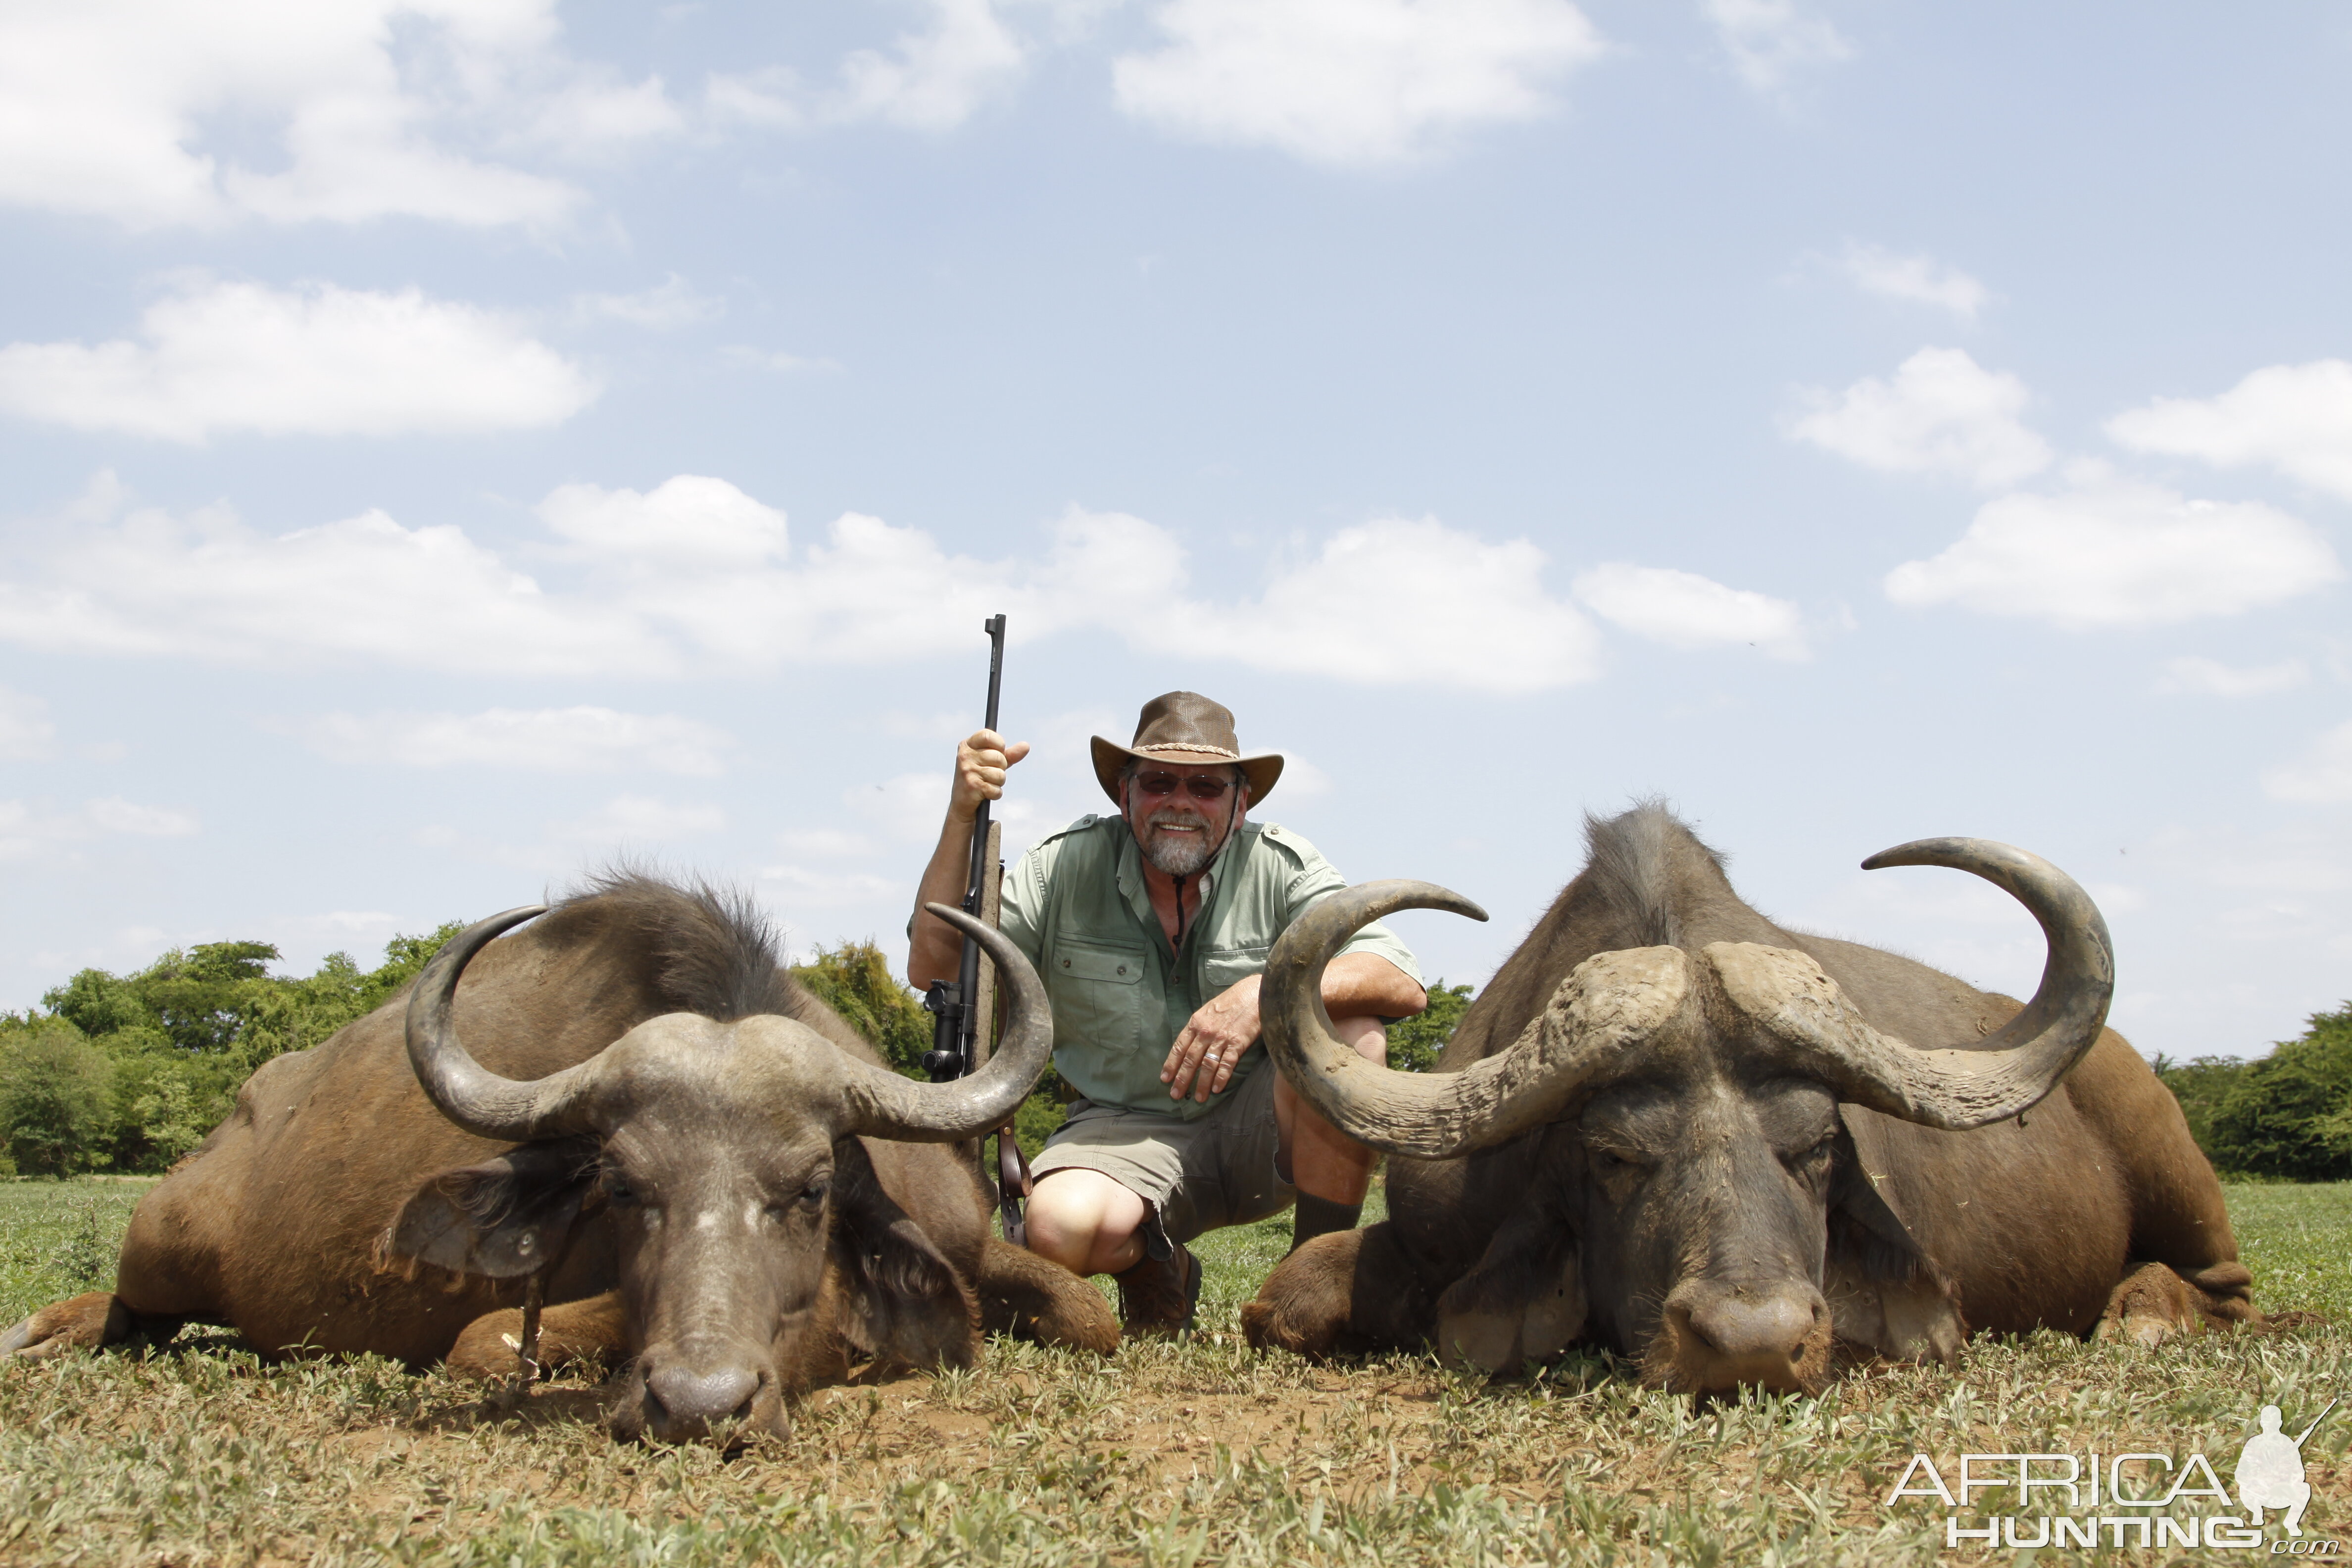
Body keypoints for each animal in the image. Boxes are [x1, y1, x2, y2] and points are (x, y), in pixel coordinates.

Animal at [0, 879, 1119, 1438]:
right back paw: (48, 1330)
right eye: (622, 1187)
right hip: (163, 1249)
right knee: (135, 1315)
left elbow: (1088, 1315)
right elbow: (485, 1341)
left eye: (809, 1186)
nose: (698, 1404)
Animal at [1242, 808, 2248, 1401]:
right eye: (1613, 1156)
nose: (1753, 1344)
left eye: (1818, 1147)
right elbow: (1283, 1300)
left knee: (2219, 1288)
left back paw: (2143, 1316)